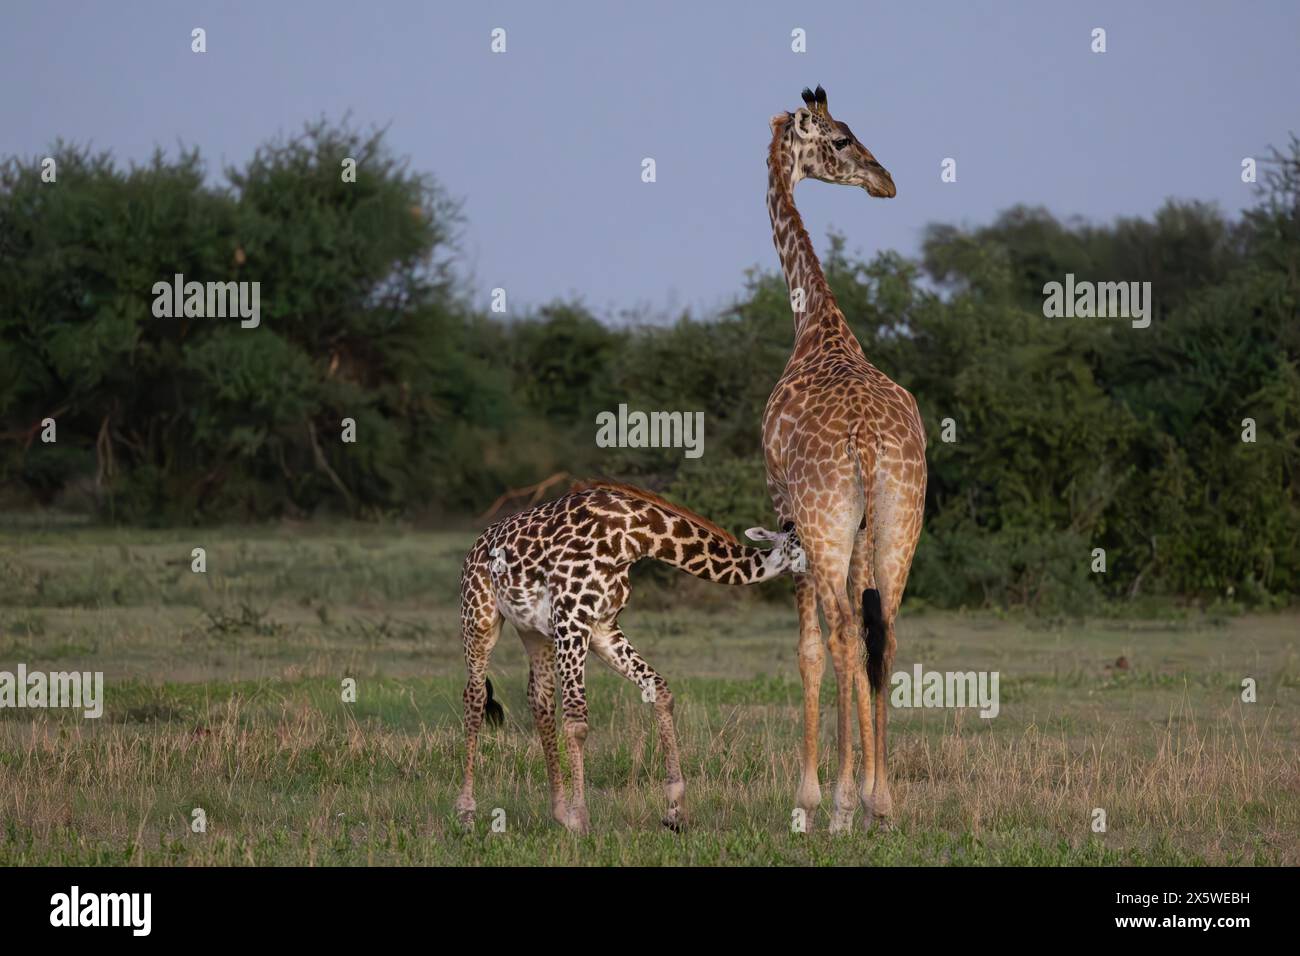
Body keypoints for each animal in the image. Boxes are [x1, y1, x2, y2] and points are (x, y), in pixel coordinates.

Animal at [454, 481, 800, 832]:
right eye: (800, 544)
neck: (635, 535)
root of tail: (476, 545)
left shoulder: (602, 628)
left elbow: (660, 691)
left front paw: (676, 812)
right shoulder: (572, 621)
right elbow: (577, 720)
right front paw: (581, 818)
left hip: (534, 633)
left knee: (540, 700)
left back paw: (558, 811)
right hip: (479, 617)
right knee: (475, 696)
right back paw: (467, 812)